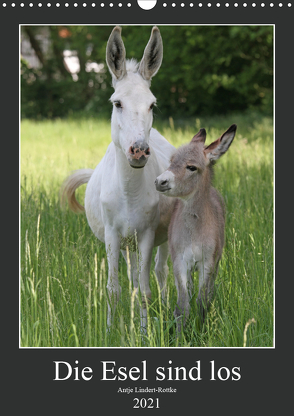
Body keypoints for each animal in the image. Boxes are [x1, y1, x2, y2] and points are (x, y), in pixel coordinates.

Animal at [156, 123, 237, 332]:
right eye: (171, 161)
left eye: (192, 167)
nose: (159, 181)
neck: (194, 233)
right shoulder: (179, 261)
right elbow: (182, 305)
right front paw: (180, 335)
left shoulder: (207, 262)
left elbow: (203, 301)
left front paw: (202, 330)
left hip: (216, 262)